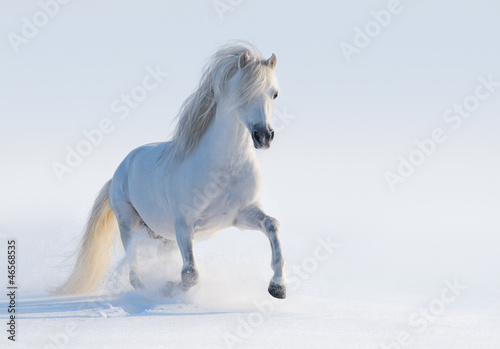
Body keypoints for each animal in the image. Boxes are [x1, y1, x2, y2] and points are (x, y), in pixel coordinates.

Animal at [59, 43, 286, 298]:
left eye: (274, 93)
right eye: (243, 92)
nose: (264, 136)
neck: (224, 170)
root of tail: (118, 172)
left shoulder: (241, 215)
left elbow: (272, 224)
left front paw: (278, 287)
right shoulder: (184, 224)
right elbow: (190, 274)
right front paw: (168, 288)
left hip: (164, 238)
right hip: (129, 225)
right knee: (133, 269)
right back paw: (147, 291)